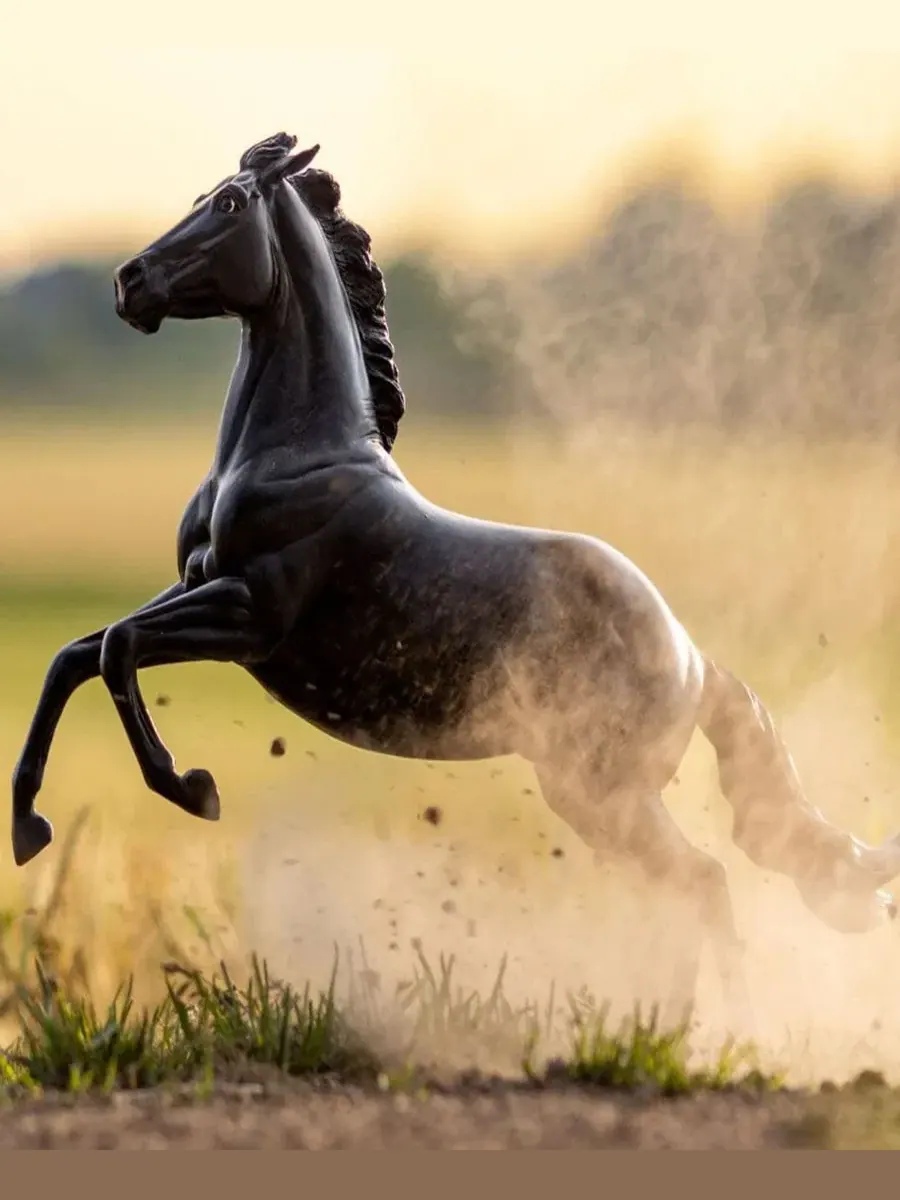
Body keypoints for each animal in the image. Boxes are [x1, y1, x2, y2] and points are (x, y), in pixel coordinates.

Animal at [12, 132, 900, 1027]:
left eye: (228, 205)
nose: (130, 282)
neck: (295, 454)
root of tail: (691, 658)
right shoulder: (198, 592)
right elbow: (73, 656)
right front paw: (30, 829)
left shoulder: (249, 615)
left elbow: (118, 649)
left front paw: (191, 788)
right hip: (596, 799)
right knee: (679, 894)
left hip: (604, 793)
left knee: (705, 884)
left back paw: (709, 1032)